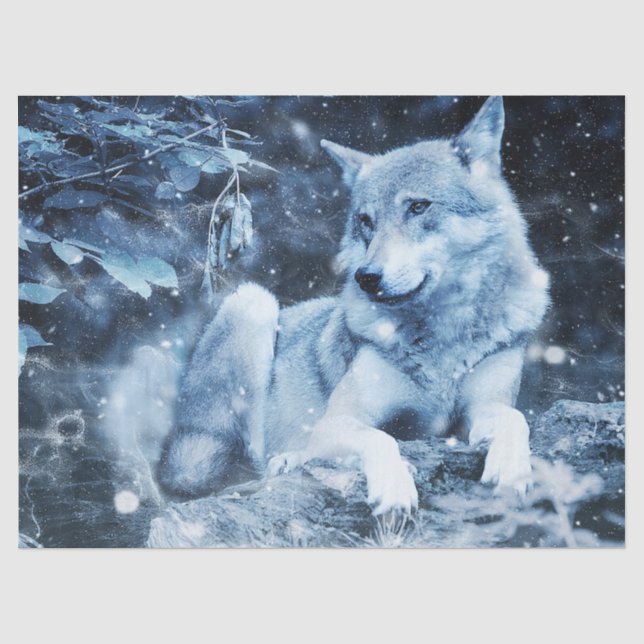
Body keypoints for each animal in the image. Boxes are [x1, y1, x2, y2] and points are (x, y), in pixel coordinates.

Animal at [158, 96, 550, 515]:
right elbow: (383, 438)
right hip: (253, 302)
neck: (441, 335)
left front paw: (513, 469)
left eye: (418, 207)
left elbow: (516, 418)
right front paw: (395, 488)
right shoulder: (339, 420)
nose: (367, 276)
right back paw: (287, 460)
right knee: (249, 463)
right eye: (366, 221)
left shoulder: (480, 411)